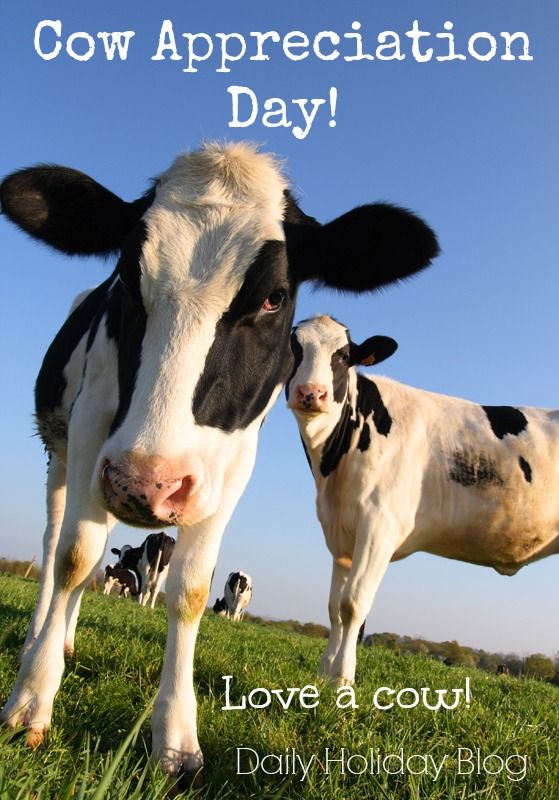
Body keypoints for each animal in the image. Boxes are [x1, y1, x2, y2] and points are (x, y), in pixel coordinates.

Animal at [0, 142, 438, 786]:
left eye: (274, 297)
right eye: (126, 277)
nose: (146, 483)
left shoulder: (231, 463)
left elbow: (189, 588)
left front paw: (176, 741)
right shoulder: (90, 426)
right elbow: (75, 558)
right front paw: (32, 702)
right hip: (64, 456)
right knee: (59, 544)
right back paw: (41, 642)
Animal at [286, 315, 559, 686]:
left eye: (343, 356)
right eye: (295, 347)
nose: (310, 393)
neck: (332, 468)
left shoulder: (379, 526)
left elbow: (352, 604)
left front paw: (343, 679)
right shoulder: (341, 536)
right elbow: (333, 608)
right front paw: (324, 675)